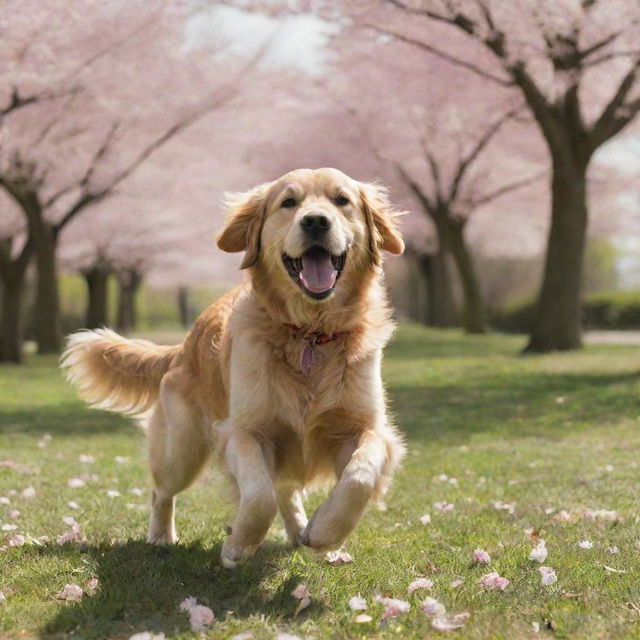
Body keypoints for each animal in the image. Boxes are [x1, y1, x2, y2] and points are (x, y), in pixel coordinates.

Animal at [60, 168, 404, 568]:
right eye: (289, 202)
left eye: (341, 200)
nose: (316, 221)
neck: (309, 333)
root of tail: (183, 344)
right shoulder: (244, 431)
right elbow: (258, 495)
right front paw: (239, 544)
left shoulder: (365, 428)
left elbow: (359, 478)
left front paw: (325, 533)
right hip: (182, 448)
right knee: (162, 491)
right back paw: (161, 537)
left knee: (285, 489)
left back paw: (302, 530)